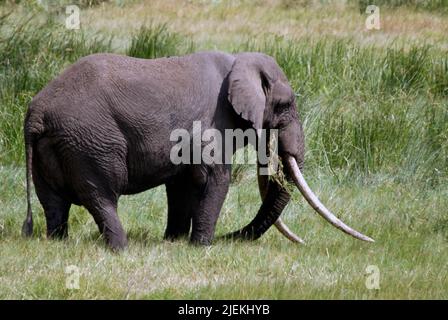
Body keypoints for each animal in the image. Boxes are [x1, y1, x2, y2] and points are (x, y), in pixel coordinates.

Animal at [21, 50, 374, 250]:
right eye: (285, 105)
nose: (227, 239)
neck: (239, 60)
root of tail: (36, 112)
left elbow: (181, 184)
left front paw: (174, 244)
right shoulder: (212, 120)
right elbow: (215, 178)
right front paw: (201, 248)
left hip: (55, 146)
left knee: (53, 201)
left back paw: (58, 244)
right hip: (91, 143)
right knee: (102, 195)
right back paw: (121, 250)